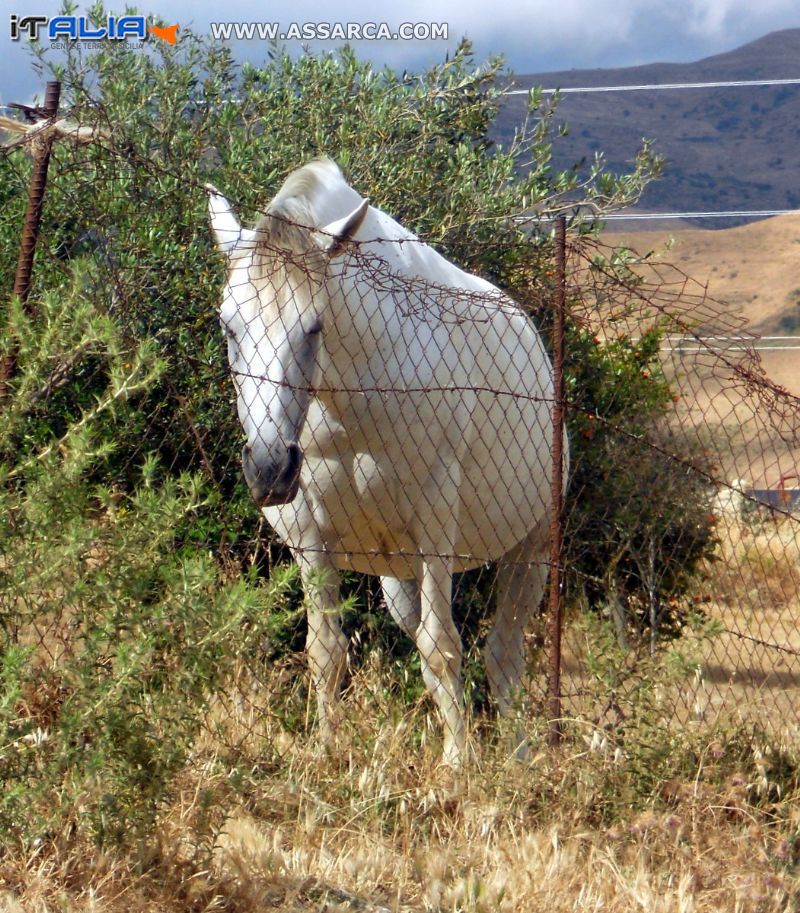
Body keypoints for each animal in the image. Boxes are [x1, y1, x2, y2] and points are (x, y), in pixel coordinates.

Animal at [206, 157, 564, 764]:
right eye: (230, 326)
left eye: (313, 327)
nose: (270, 469)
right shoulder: (310, 536)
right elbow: (326, 652)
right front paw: (326, 757)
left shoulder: (435, 526)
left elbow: (444, 649)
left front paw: (457, 768)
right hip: (399, 577)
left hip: (528, 552)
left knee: (502, 657)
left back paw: (515, 759)